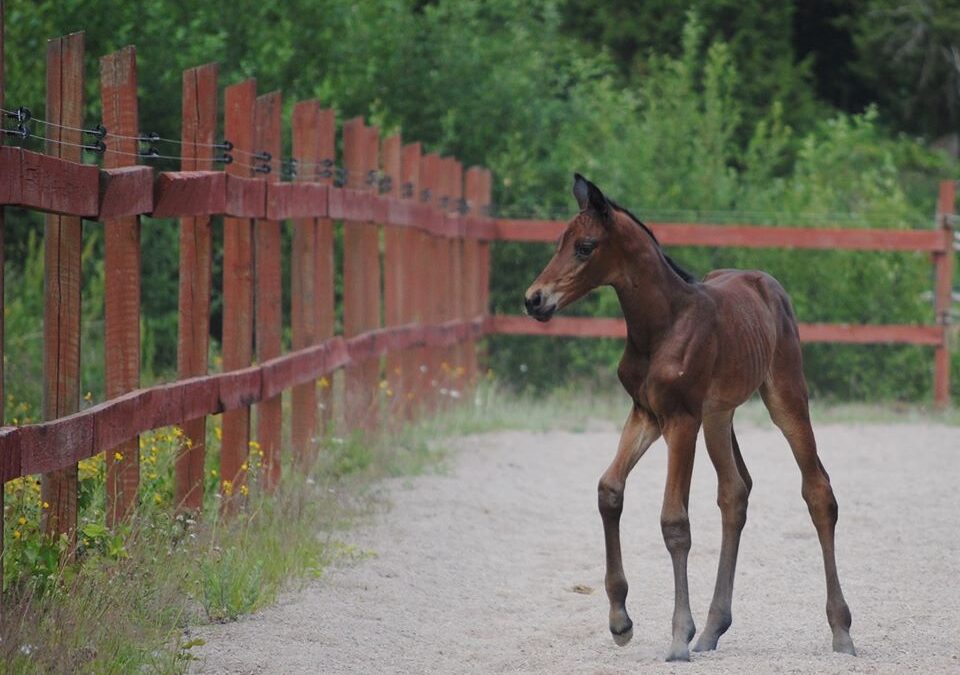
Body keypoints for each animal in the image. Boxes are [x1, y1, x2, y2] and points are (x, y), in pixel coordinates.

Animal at [524, 176, 856, 664]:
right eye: (558, 243)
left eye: (585, 246)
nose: (534, 300)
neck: (661, 327)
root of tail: (767, 283)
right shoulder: (646, 414)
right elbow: (609, 490)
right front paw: (620, 621)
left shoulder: (680, 421)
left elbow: (674, 523)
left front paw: (679, 635)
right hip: (718, 415)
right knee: (734, 493)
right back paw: (714, 627)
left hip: (785, 396)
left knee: (818, 492)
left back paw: (841, 629)